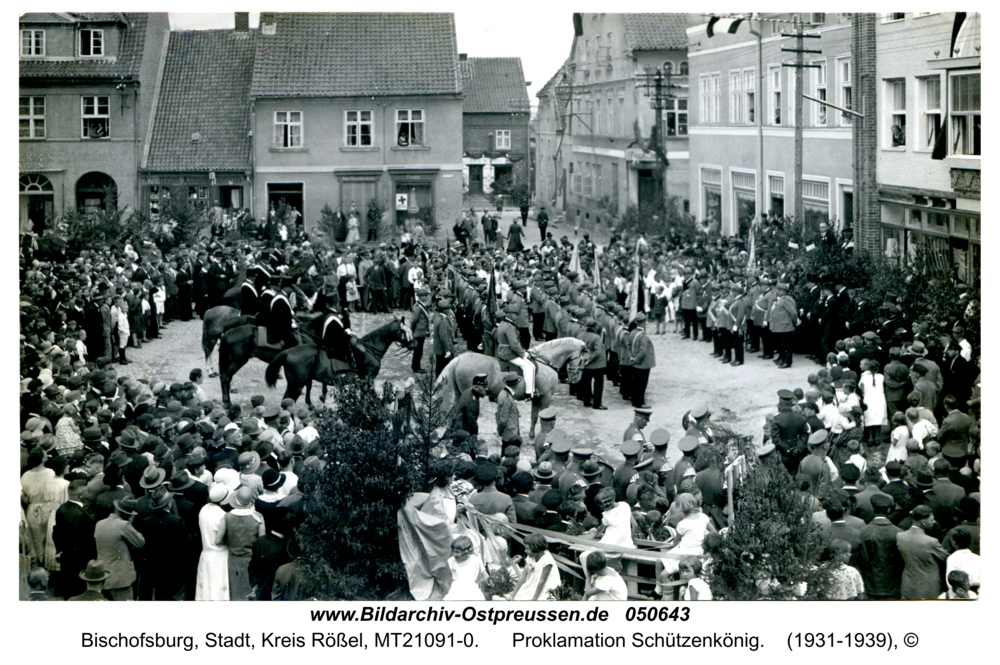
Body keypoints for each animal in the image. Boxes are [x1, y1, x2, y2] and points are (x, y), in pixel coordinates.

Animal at [264, 316, 412, 404]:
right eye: (405, 331)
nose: (413, 344)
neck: (370, 349)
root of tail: (289, 351)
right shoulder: (368, 380)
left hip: (293, 385)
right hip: (296, 386)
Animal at [436, 338, 588, 440]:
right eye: (584, 360)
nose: (575, 379)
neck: (545, 361)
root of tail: (460, 358)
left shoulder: (537, 398)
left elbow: (534, 417)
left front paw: (532, 436)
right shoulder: (546, 397)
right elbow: (544, 416)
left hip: (459, 393)